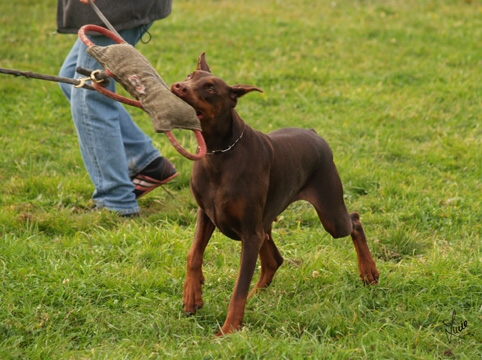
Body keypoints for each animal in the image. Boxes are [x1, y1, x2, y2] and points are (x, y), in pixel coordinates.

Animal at [171, 52, 378, 336]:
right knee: (274, 260)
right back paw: (257, 296)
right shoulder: (206, 214)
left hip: (330, 214)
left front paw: (229, 329)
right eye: (190, 76)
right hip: (266, 221)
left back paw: (369, 271)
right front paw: (192, 297)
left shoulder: (249, 233)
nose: (179, 86)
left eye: (211, 88)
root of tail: (314, 133)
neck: (219, 153)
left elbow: (239, 288)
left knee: (354, 221)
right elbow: (194, 255)